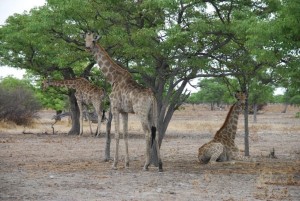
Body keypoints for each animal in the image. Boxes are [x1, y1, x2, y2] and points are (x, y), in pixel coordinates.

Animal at [83, 32, 163, 172]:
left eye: (93, 40)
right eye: (85, 40)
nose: (87, 47)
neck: (112, 78)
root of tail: (152, 96)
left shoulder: (115, 108)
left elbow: (116, 134)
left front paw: (114, 164)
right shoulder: (124, 111)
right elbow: (125, 134)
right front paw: (127, 163)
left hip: (141, 112)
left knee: (147, 132)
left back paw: (146, 165)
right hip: (152, 113)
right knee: (156, 131)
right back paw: (159, 165)